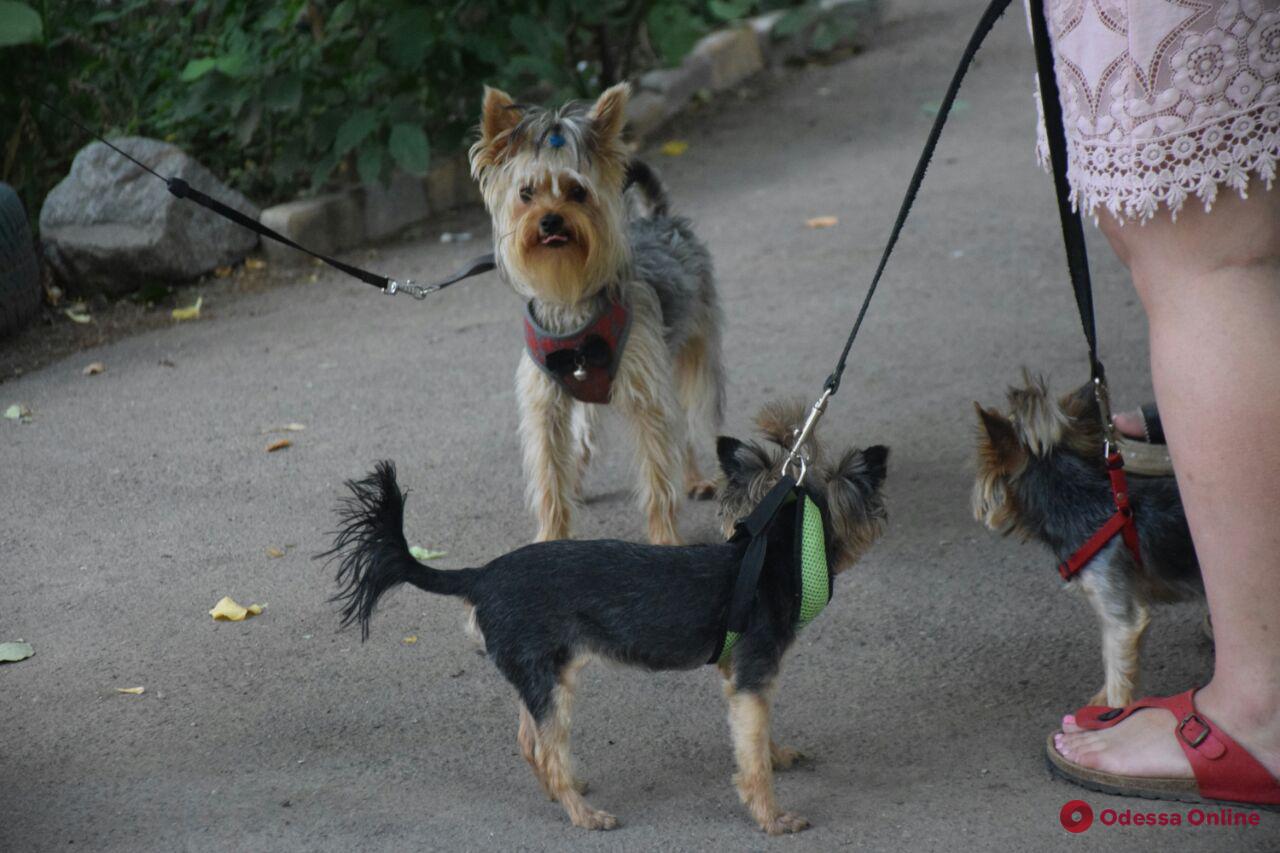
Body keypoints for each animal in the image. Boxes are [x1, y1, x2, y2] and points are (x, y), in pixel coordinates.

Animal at [471, 83, 732, 540]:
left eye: (578, 192)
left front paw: (665, 538)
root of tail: (661, 219)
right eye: (525, 193)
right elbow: (549, 482)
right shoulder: (548, 408)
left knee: (691, 421)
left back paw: (701, 479)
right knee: (586, 439)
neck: (570, 296)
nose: (550, 220)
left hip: (693, 355)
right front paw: (551, 536)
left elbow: (658, 477)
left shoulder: (648, 396)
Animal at [972, 373, 1203, 701]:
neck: (1080, 503)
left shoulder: (1119, 615)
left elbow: (1118, 672)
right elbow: (1115, 665)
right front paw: (1099, 705)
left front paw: (1117, 711)